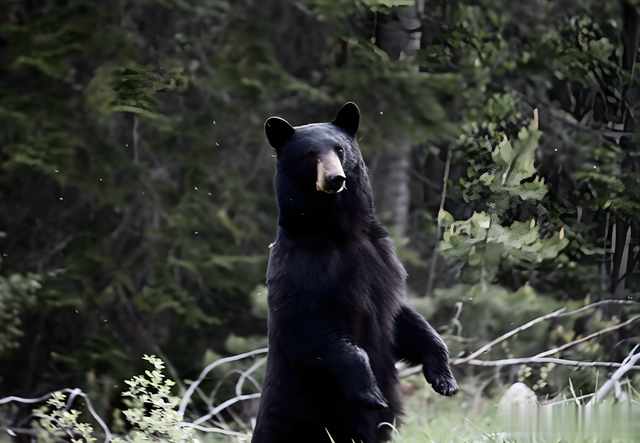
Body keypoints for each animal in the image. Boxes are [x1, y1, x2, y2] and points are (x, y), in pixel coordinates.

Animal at [252, 103, 458, 443]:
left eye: (340, 149)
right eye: (310, 154)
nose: (335, 177)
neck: (340, 232)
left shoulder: (383, 262)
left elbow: (404, 320)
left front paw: (444, 379)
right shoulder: (301, 267)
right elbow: (306, 327)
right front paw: (370, 392)